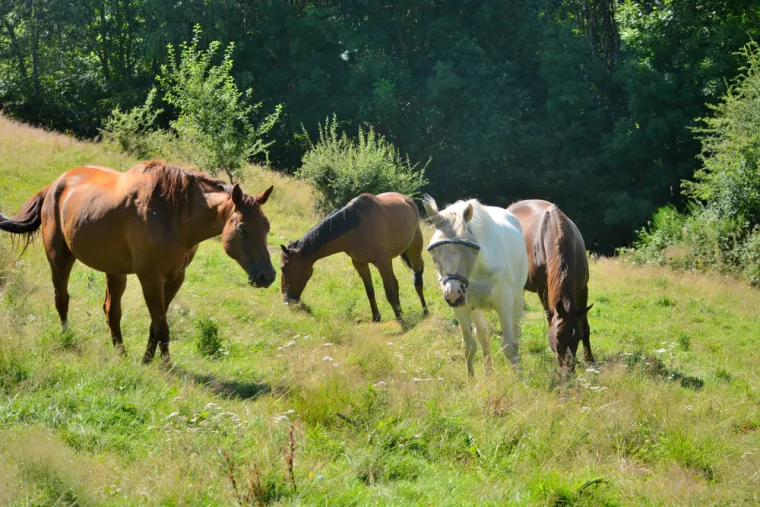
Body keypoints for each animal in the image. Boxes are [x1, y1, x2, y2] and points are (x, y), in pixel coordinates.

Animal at [0, 161, 276, 366]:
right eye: (242, 229)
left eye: (266, 227)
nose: (268, 276)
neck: (173, 215)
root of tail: (55, 185)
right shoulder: (150, 278)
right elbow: (162, 326)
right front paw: (165, 366)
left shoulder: (175, 278)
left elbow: (156, 323)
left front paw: (146, 360)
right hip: (60, 259)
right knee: (62, 300)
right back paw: (67, 337)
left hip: (114, 271)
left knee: (111, 310)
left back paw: (121, 354)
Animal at [279, 192, 428, 322]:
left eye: (283, 268)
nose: (287, 299)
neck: (357, 227)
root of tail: (407, 199)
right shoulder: (360, 263)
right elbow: (370, 291)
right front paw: (376, 317)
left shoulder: (382, 263)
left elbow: (389, 291)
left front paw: (400, 319)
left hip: (413, 251)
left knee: (417, 278)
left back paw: (424, 310)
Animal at [422, 195, 528, 376]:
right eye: (434, 250)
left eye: (469, 247)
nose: (453, 295)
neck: (477, 270)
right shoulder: (462, 309)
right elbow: (469, 347)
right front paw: (471, 380)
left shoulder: (504, 304)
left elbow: (509, 346)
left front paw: (519, 378)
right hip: (475, 308)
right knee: (483, 335)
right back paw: (488, 373)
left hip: (516, 298)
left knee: (516, 331)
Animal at [507, 200, 594, 377]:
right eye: (557, 337)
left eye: (578, 337)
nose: (568, 373)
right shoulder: (544, 291)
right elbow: (550, 318)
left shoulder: (582, 289)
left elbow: (585, 325)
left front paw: (590, 361)